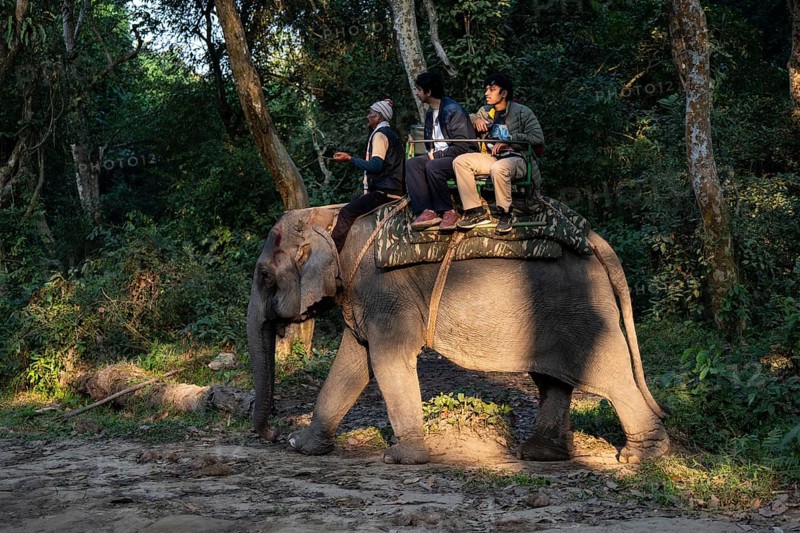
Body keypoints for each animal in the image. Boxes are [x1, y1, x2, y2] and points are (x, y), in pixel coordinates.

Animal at [247, 204, 670, 464]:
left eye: (264, 276)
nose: (274, 433)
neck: (328, 216)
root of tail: (595, 238)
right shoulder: (361, 293)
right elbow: (352, 364)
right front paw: (303, 447)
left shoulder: (383, 289)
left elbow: (387, 360)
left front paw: (400, 458)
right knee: (552, 380)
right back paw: (537, 454)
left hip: (580, 307)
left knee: (609, 377)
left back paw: (640, 457)